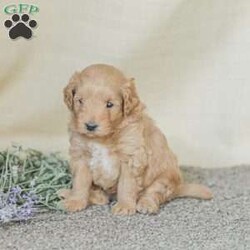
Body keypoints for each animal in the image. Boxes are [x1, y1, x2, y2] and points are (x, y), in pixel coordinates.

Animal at [59, 64, 213, 215]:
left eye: (109, 104)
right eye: (80, 101)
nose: (90, 126)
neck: (104, 137)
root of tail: (178, 187)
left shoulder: (131, 158)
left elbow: (126, 185)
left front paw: (125, 206)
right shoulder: (80, 156)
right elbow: (80, 182)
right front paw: (75, 201)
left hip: (165, 177)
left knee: (154, 193)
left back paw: (146, 204)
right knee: (102, 198)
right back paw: (69, 193)